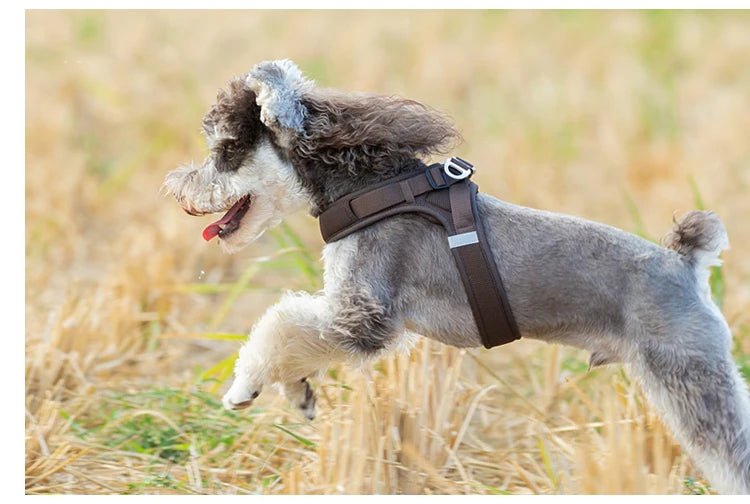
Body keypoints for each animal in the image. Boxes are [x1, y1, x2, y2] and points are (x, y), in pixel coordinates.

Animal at [164, 59, 750, 492]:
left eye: (227, 150)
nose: (176, 189)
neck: (367, 191)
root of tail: (685, 263)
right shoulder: (344, 315)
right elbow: (293, 334)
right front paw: (297, 392)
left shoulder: (362, 316)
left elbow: (279, 322)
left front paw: (242, 386)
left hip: (690, 378)